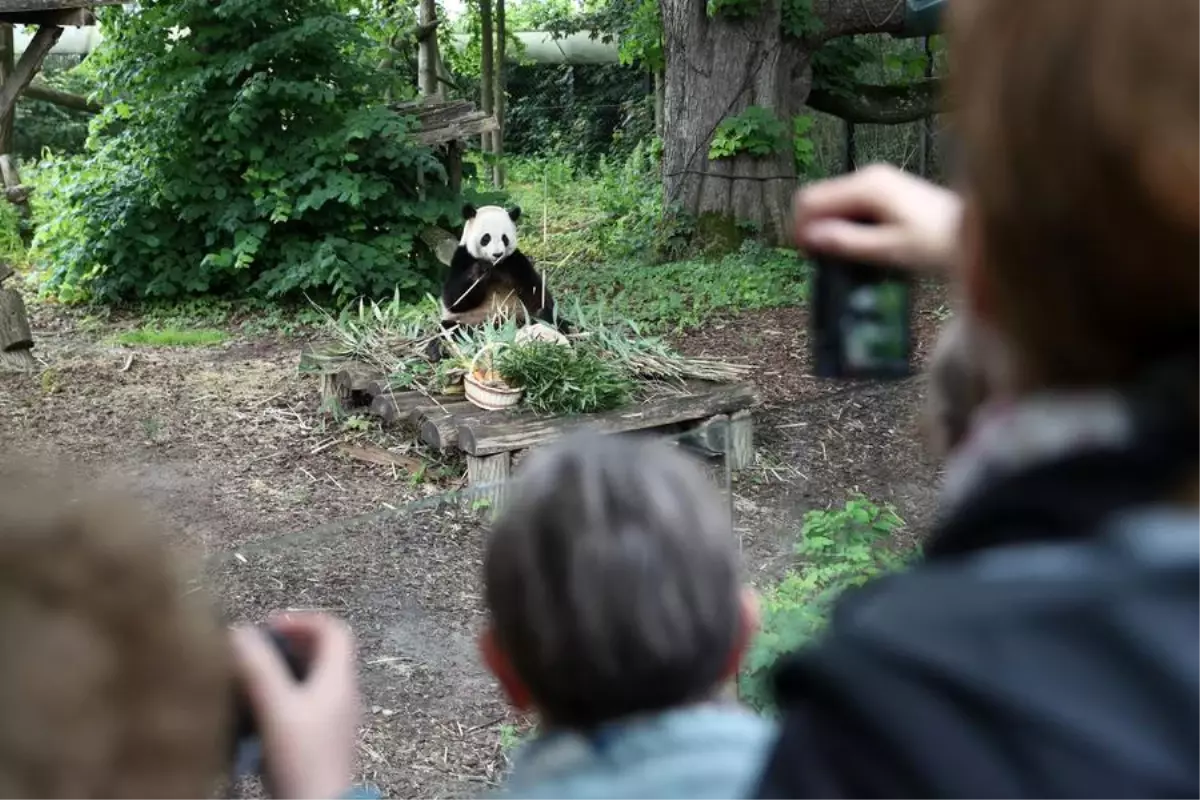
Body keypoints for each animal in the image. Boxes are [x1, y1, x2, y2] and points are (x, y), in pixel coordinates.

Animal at [427, 205, 566, 362]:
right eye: (486, 238)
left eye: (504, 238)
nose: (497, 254)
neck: (495, 266)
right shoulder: (463, 258)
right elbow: (454, 300)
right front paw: (480, 271)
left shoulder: (514, 262)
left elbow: (534, 290)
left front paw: (547, 312)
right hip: (469, 322)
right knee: (449, 329)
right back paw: (436, 350)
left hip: (518, 316)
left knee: (541, 319)